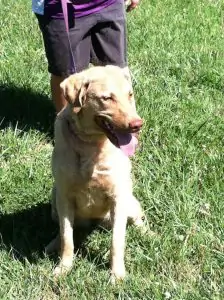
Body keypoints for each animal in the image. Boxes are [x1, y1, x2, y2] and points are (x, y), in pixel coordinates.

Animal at [47, 65, 145, 282]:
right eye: (107, 98)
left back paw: (149, 235)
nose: (137, 124)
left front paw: (117, 275)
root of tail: (96, 223)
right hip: (54, 199)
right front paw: (64, 268)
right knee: (62, 228)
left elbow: (117, 242)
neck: (90, 144)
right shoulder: (64, 196)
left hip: (130, 201)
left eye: (130, 94)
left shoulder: (118, 196)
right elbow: (67, 238)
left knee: (138, 220)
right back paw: (52, 244)